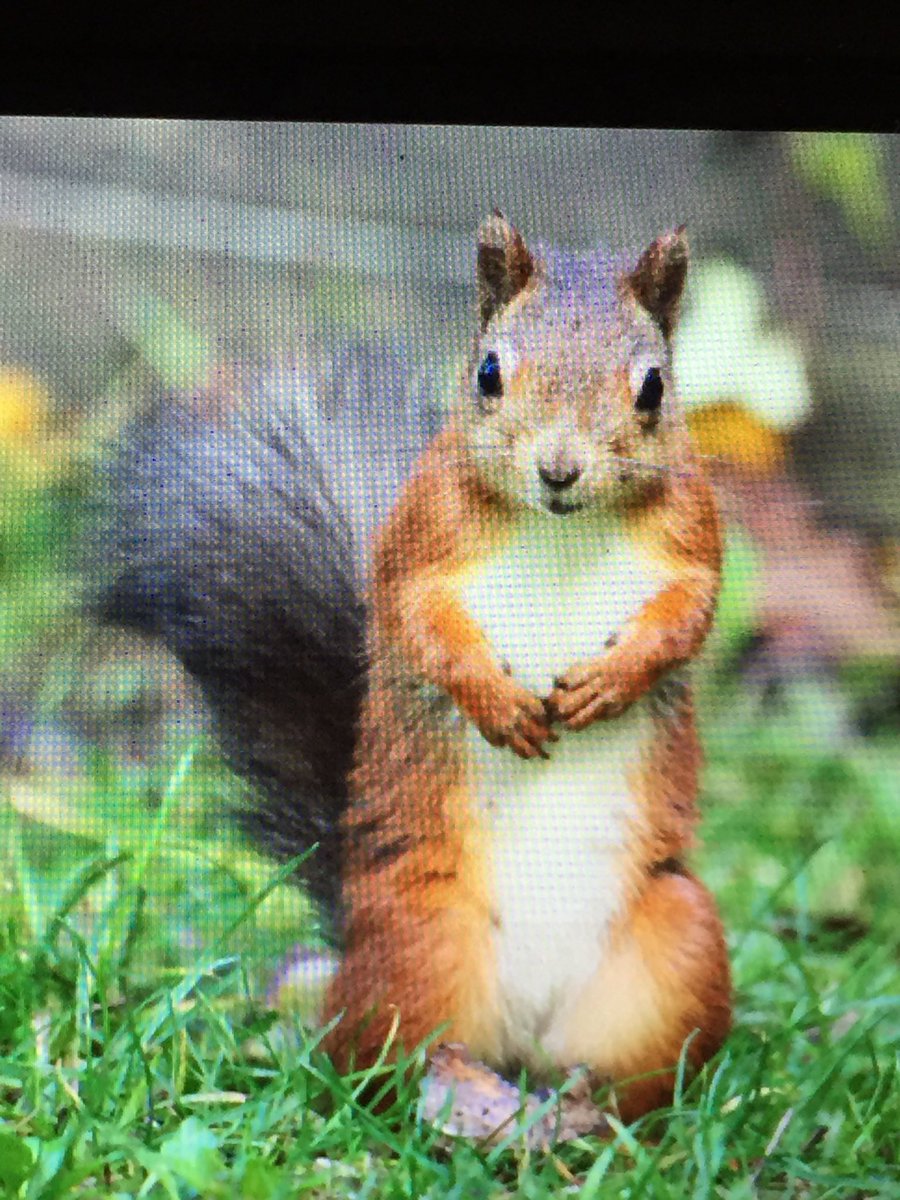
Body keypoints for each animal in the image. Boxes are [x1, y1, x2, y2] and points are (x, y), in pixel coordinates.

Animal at [97, 212, 732, 1124]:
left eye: (652, 388)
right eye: (488, 371)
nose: (559, 471)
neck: (562, 529)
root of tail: (520, 1039)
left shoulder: (693, 536)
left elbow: (687, 616)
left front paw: (613, 681)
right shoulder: (419, 538)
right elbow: (417, 623)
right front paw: (496, 703)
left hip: (679, 940)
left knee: (636, 1076)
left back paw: (581, 1110)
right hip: (418, 940)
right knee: (373, 1062)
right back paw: (457, 1093)